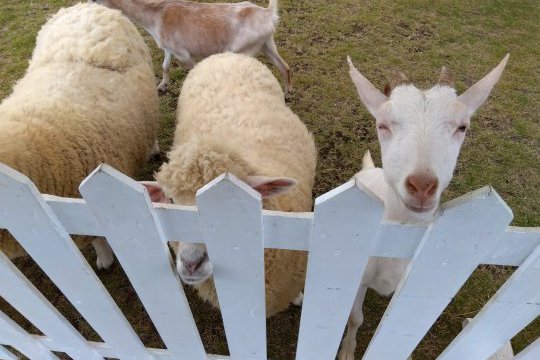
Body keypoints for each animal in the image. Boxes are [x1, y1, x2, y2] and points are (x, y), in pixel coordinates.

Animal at [92, 0, 292, 97]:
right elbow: (165, 66)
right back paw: (287, 94)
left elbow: (195, 70)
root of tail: (268, 14)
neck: (156, 16)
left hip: (242, 51)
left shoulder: (184, 54)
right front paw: (162, 86)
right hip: (267, 44)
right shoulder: (169, 48)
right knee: (285, 67)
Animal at [338, 54, 510, 360]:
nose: (421, 185)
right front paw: (347, 351)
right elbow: (355, 317)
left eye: (462, 127)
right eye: (382, 125)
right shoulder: (359, 279)